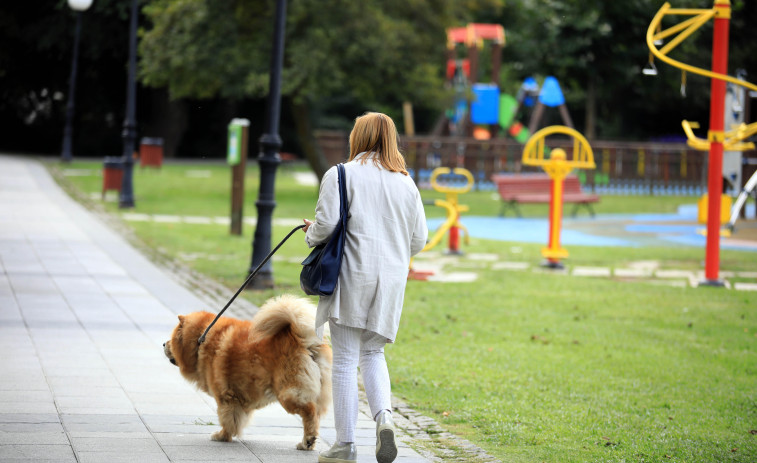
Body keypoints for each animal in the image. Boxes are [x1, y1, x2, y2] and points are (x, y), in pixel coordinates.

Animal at [162, 296, 330, 452]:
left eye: (171, 339)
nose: (163, 343)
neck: (200, 341)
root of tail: (303, 339)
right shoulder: (241, 399)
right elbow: (239, 419)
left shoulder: (225, 397)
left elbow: (226, 419)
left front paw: (222, 436)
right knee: (316, 415)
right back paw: (309, 443)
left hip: (288, 393)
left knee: (309, 411)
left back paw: (307, 441)